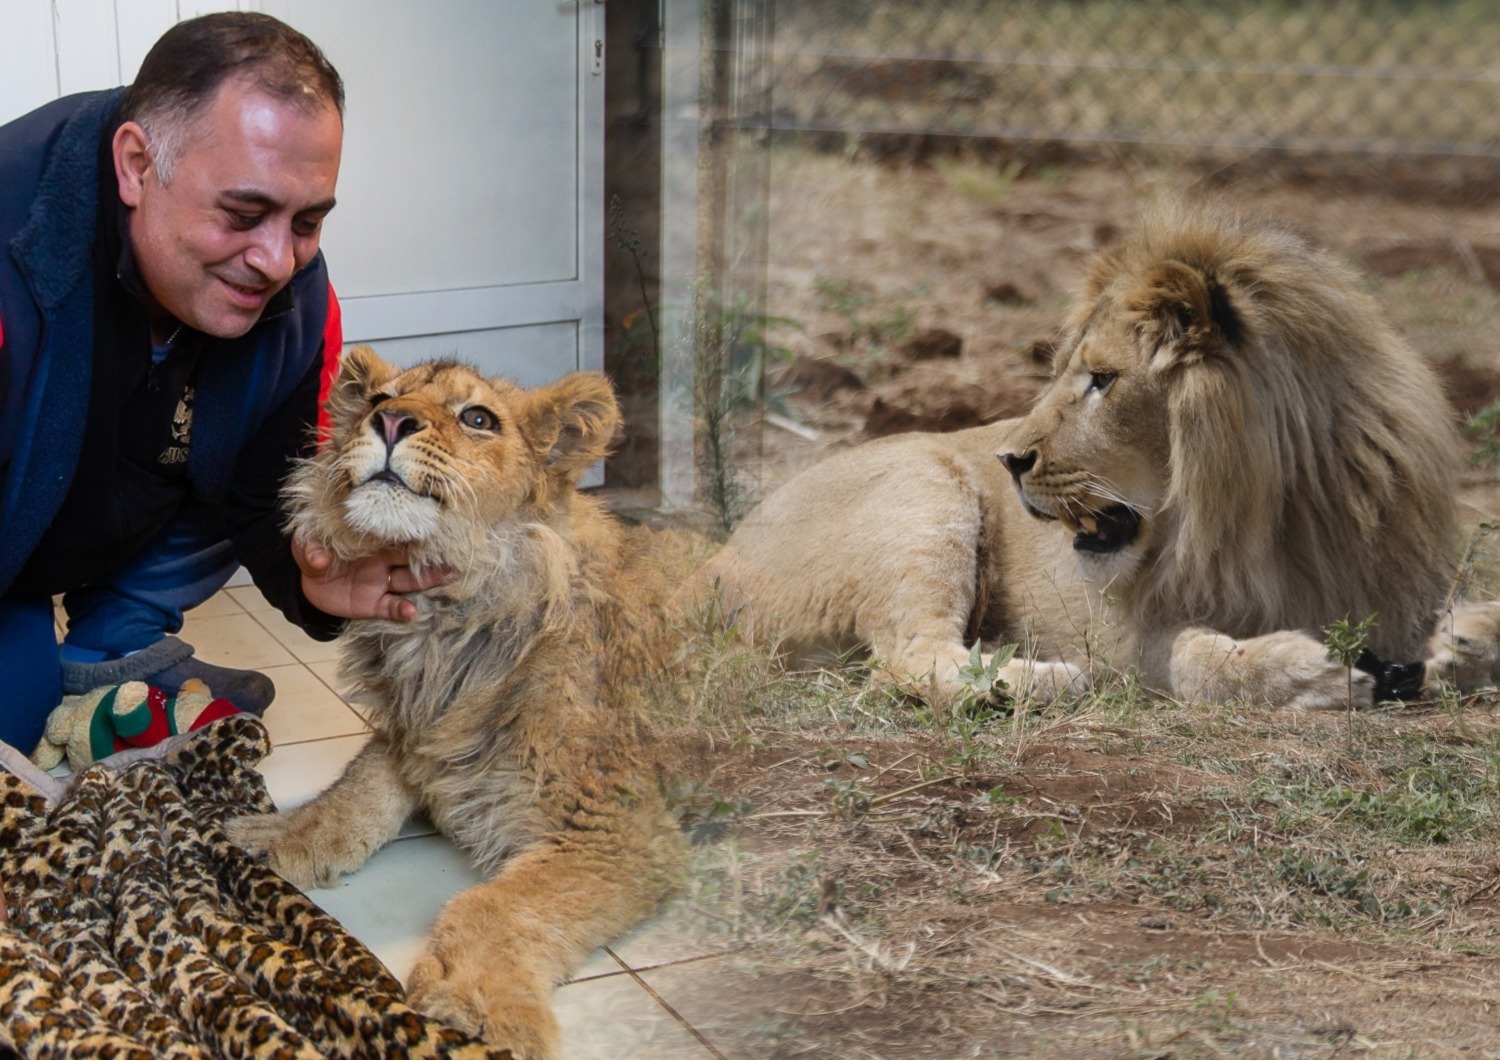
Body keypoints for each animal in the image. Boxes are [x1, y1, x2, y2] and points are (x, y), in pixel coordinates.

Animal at [228, 346, 690, 1056]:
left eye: (477, 418)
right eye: (377, 399)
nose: (390, 421)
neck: (444, 626)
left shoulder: (621, 828)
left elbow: (499, 904)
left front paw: (471, 1006)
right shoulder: (413, 734)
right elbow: (355, 791)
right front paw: (276, 833)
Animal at [705, 204, 1500, 708]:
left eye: (1102, 379)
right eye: (1066, 372)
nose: (1008, 459)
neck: (1275, 519)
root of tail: (711, 561)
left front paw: (1465, 640)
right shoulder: (1122, 629)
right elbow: (1195, 656)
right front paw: (1311, 670)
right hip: (923, 491)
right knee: (909, 656)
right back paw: (1041, 679)